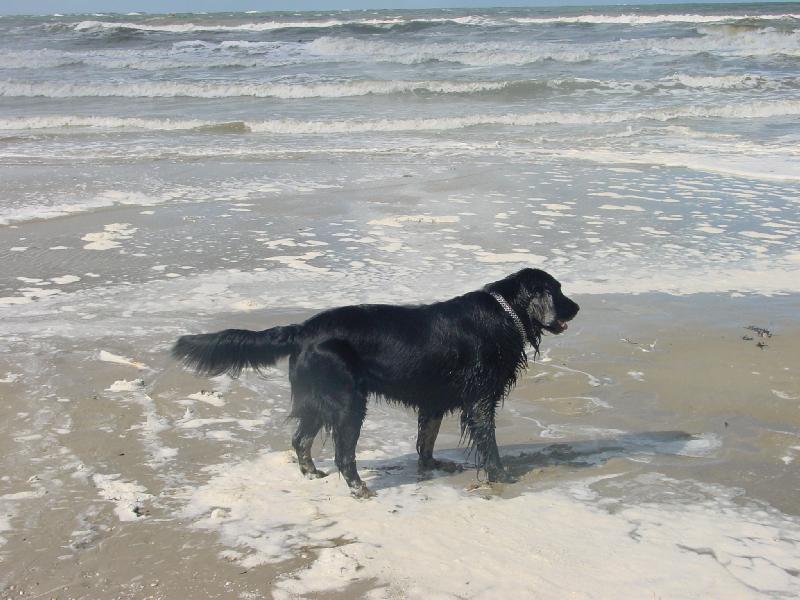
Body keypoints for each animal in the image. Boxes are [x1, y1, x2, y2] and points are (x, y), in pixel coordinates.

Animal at [172, 268, 580, 496]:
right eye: (558, 290)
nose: (576, 308)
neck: (504, 312)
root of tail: (302, 329)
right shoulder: (480, 400)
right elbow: (489, 446)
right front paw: (501, 477)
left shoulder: (433, 401)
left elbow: (426, 440)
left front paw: (432, 467)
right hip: (348, 402)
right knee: (342, 454)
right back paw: (358, 488)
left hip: (318, 399)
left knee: (300, 439)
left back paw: (311, 473)